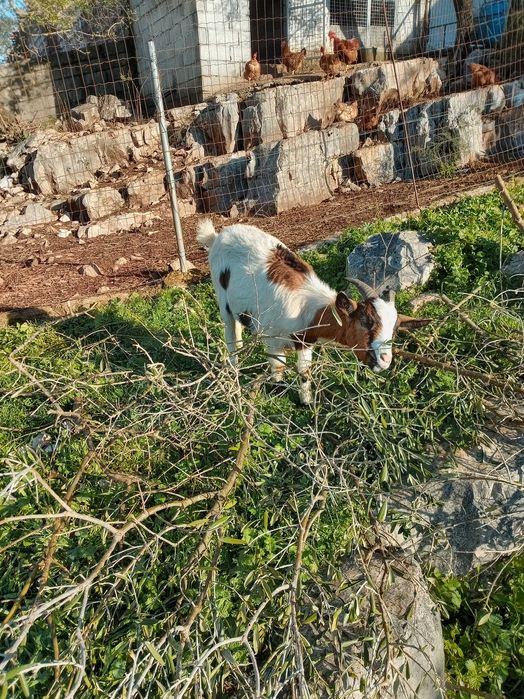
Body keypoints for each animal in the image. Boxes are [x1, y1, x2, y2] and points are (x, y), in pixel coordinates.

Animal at [197, 220, 429, 404]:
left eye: (395, 329)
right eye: (365, 320)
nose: (385, 360)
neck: (307, 308)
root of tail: (218, 235)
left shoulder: (305, 341)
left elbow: (304, 372)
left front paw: (307, 402)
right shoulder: (272, 338)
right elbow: (278, 367)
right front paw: (279, 391)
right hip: (223, 300)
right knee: (230, 334)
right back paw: (234, 370)